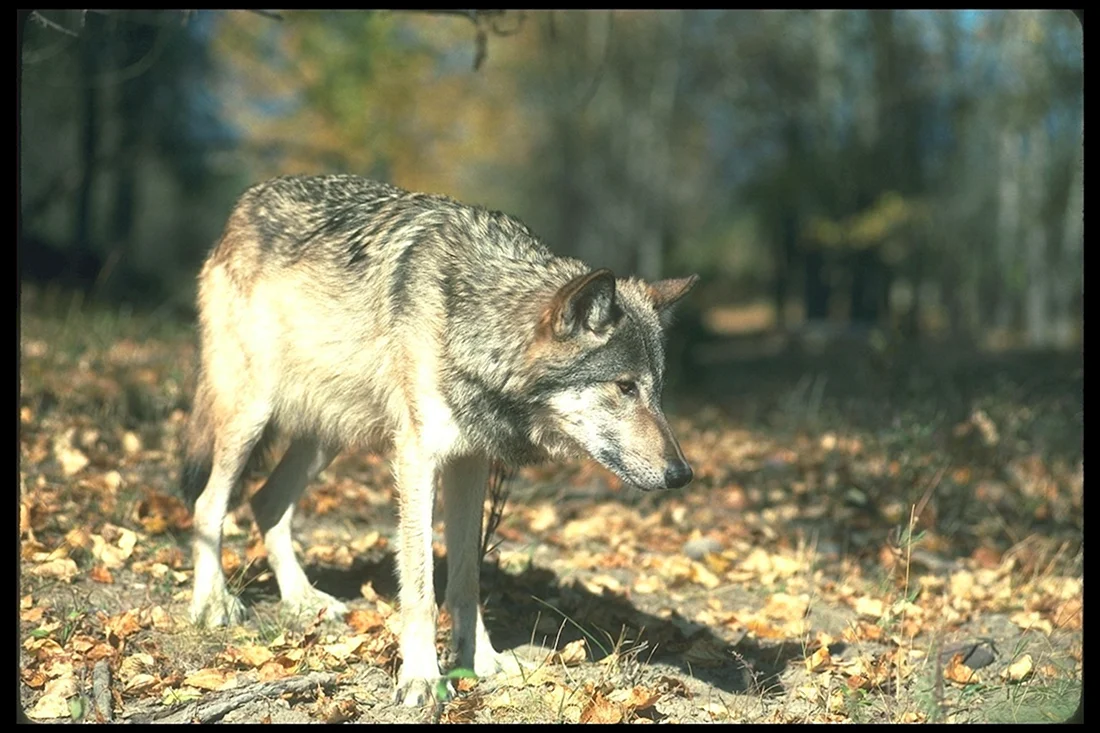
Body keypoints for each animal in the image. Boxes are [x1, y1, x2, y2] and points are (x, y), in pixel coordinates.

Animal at [179, 174, 697, 705]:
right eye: (625, 387)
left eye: (657, 390)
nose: (682, 474)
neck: (472, 320)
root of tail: (244, 203)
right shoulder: (417, 457)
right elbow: (422, 587)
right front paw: (422, 676)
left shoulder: (471, 461)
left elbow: (466, 581)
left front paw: (482, 661)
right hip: (251, 413)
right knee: (208, 504)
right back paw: (213, 603)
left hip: (325, 436)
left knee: (266, 502)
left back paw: (303, 600)